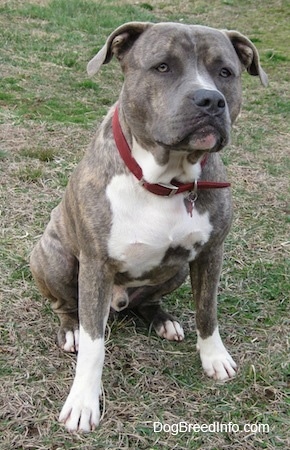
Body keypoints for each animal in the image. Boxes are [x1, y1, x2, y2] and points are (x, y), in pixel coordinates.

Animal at [30, 22, 268, 432]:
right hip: (53, 257)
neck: (165, 180)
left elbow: (208, 311)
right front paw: (83, 402)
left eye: (225, 72)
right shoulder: (95, 266)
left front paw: (214, 357)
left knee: (149, 300)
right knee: (66, 305)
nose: (210, 100)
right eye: (162, 67)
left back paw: (162, 320)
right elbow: (94, 346)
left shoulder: (210, 254)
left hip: (176, 270)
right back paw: (71, 328)